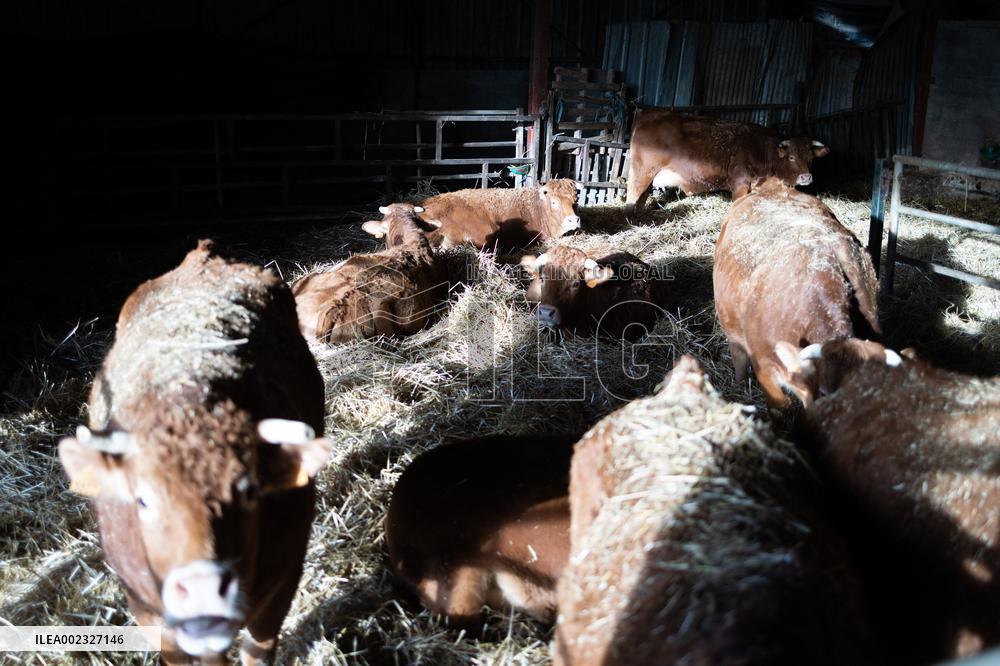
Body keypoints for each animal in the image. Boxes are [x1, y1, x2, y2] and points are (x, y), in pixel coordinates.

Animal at [57, 239, 332, 665]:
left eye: (249, 491)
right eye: (142, 500)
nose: (204, 590)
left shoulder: (283, 582)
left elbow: (258, 648)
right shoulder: (148, 613)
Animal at [625, 108, 830, 212]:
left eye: (811, 158)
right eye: (791, 157)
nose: (806, 177)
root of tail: (647, 113)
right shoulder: (740, 183)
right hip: (641, 174)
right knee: (632, 197)